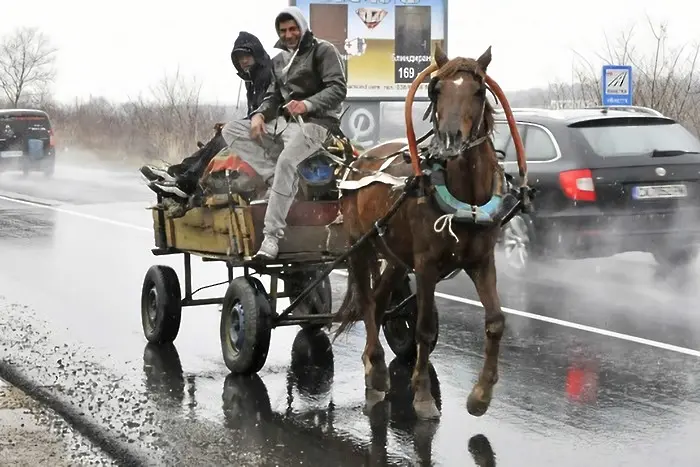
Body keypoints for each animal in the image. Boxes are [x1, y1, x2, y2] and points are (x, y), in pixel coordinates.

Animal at [334, 45, 508, 422]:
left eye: (479, 91)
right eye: (436, 89)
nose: (450, 140)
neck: (466, 198)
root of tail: (357, 160)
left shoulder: (482, 261)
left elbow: (496, 321)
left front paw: (481, 395)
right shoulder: (426, 265)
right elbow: (425, 329)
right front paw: (424, 396)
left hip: (395, 255)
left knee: (380, 300)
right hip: (359, 246)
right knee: (366, 301)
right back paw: (376, 368)